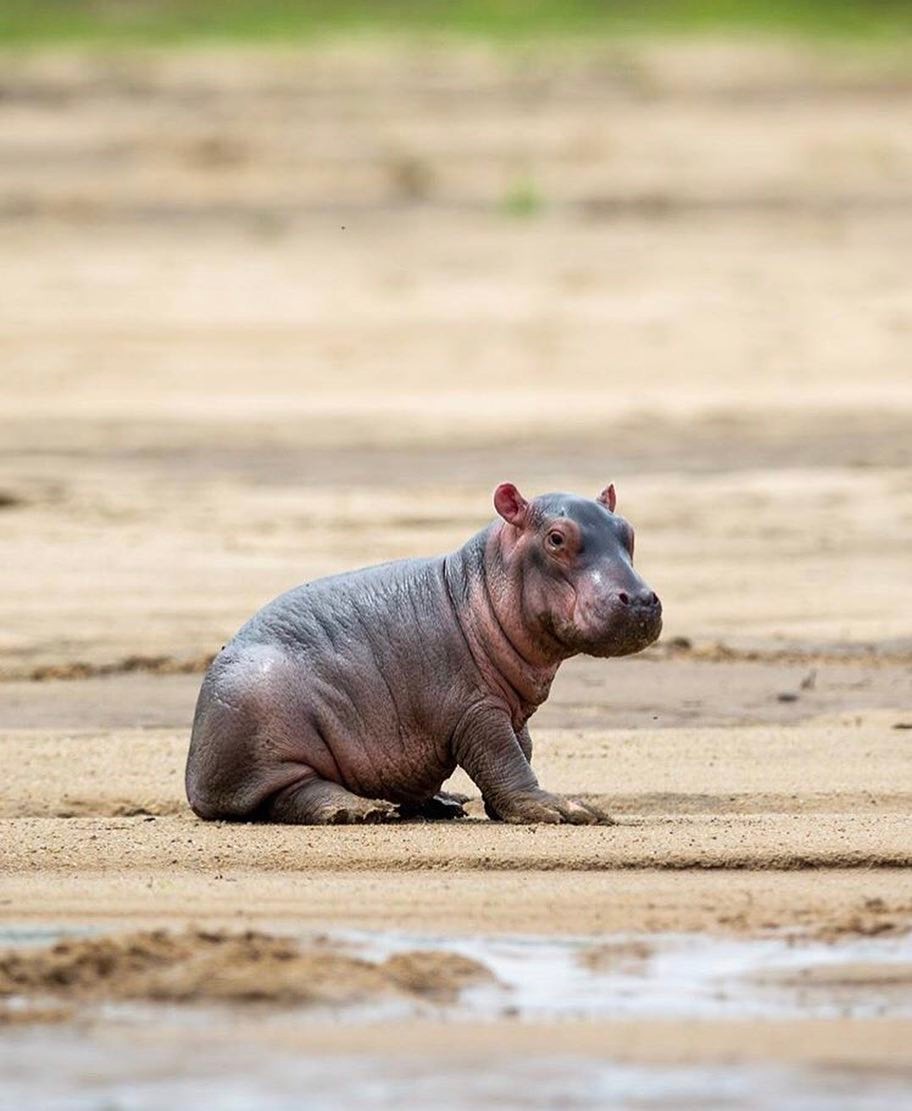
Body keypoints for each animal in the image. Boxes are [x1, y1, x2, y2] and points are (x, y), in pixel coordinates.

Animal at [186, 484, 662, 826]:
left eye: (629, 531)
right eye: (557, 538)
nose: (640, 600)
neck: (478, 585)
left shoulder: (512, 709)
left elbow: (521, 749)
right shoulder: (476, 710)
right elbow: (504, 757)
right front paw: (565, 810)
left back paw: (444, 803)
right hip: (263, 725)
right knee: (291, 792)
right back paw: (360, 810)